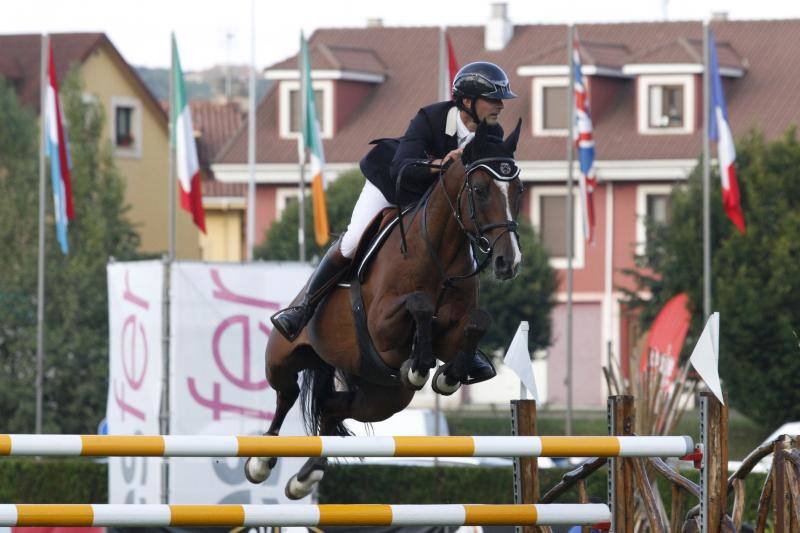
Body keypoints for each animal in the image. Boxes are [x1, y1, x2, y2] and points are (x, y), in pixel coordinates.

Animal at [247, 119, 528, 498]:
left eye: (518, 190)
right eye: (481, 190)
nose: (507, 262)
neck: (438, 255)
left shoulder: (453, 332)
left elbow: (477, 323)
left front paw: (447, 376)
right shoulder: (381, 327)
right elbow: (419, 305)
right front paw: (420, 367)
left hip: (380, 398)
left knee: (332, 409)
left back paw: (308, 474)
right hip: (282, 356)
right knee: (287, 393)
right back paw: (261, 462)